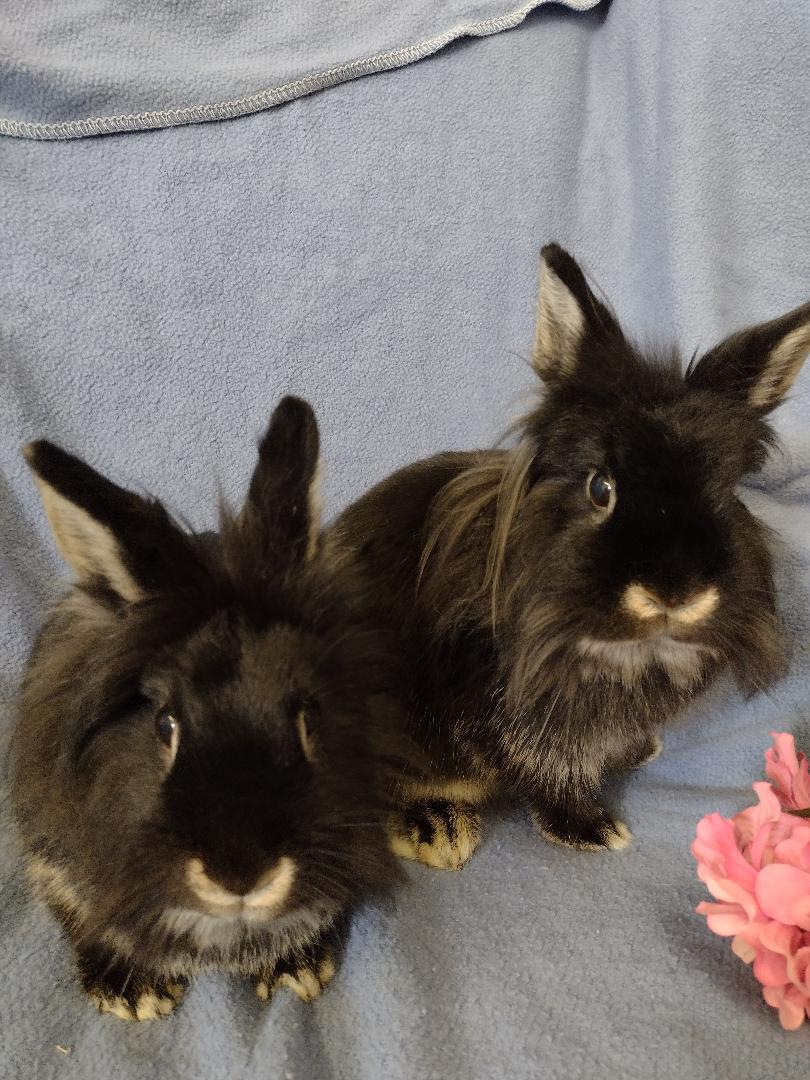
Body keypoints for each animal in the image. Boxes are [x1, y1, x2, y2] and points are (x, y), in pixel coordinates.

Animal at [326, 244, 810, 867]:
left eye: (724, 494)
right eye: (600, 488)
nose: (675, 592)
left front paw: (640, 750)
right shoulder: (530, 719)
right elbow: (550, 771)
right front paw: (592, 829)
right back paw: (437, 828)